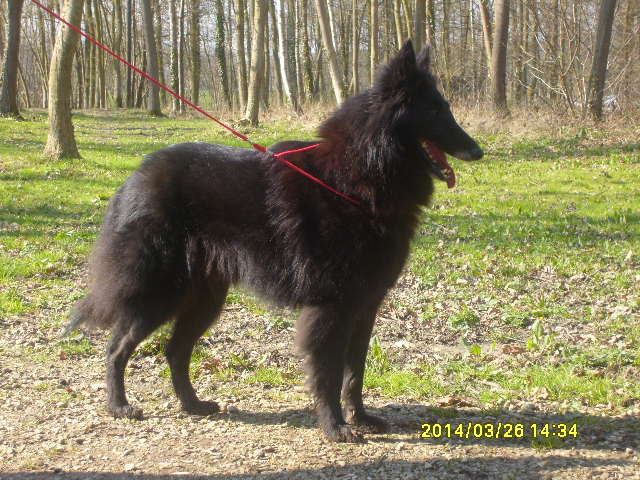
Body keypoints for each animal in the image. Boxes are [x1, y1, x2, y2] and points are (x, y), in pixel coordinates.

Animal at [65, 40, 483, 442]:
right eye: (434, 110)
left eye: (445, 108)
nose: (479, 151)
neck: (356, 178)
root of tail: (135, 177)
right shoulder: (331, 308)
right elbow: (330, 373)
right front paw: (335, 427)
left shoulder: (365, 306)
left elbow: (356, 373)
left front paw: (361, 419)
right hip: (160, 292)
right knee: (117, 347)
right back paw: (119, 406)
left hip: (204, 300)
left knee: (175, 350)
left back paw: (193, 404)